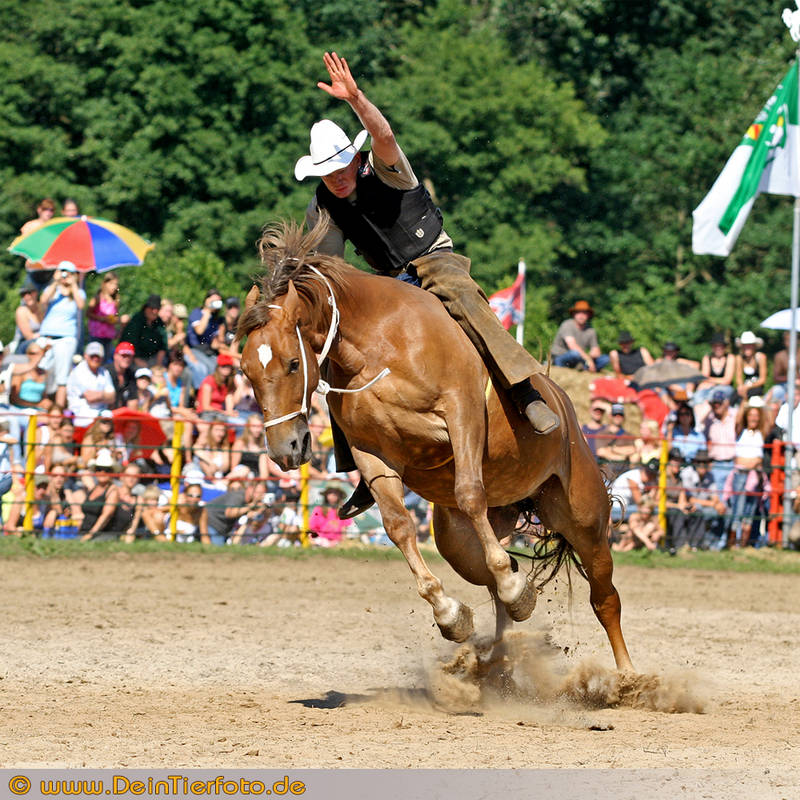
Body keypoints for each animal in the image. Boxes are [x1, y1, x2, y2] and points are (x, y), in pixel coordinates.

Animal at [238, 216, 632, 672]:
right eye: (245, 370)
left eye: (292, 363)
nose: (284, 449)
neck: (377, 346)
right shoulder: (371, 452)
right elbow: (398, 526)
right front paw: (450, 614)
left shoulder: (460, 412)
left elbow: (470, 493)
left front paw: (509, 591)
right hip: (458, 540)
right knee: (499, 576)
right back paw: (500, 661)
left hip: (584, 517)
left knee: (604, 597)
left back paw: (628, 677)